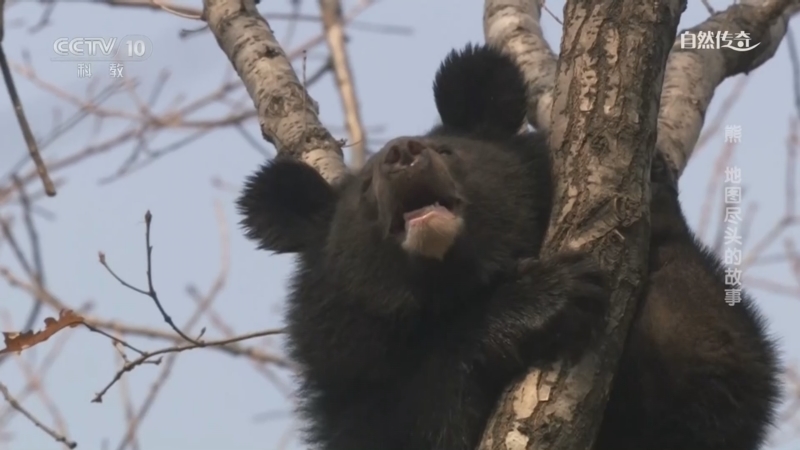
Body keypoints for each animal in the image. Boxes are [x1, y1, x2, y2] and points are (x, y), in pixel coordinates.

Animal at [236, 43, 612, 450]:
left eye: (445, 151)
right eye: (365, 188)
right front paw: (549, 294)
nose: (401, 152)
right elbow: (420, 418)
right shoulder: (350, 371)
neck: (449, 283)